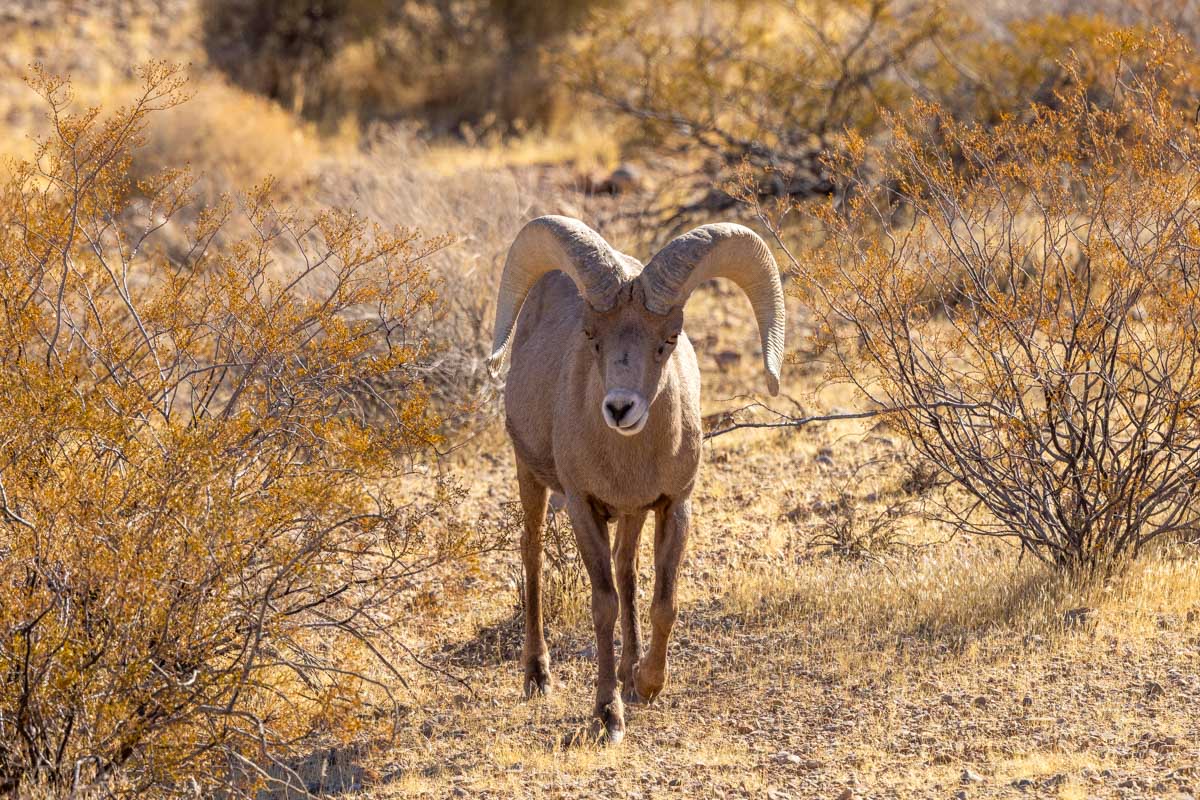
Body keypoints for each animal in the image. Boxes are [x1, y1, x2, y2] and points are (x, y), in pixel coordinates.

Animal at [489, 215, 785, 743]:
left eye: (668, 339)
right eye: (592, 335)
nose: (620, 408)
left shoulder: (673, 505)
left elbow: (662, 602)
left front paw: (646, 684)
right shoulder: (583, 507)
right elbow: (603, 605)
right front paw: (608, 715)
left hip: (629, 516)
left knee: (627, 569)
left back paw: (628, 672)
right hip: (531, 478)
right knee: (533, 556)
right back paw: (538, 676)